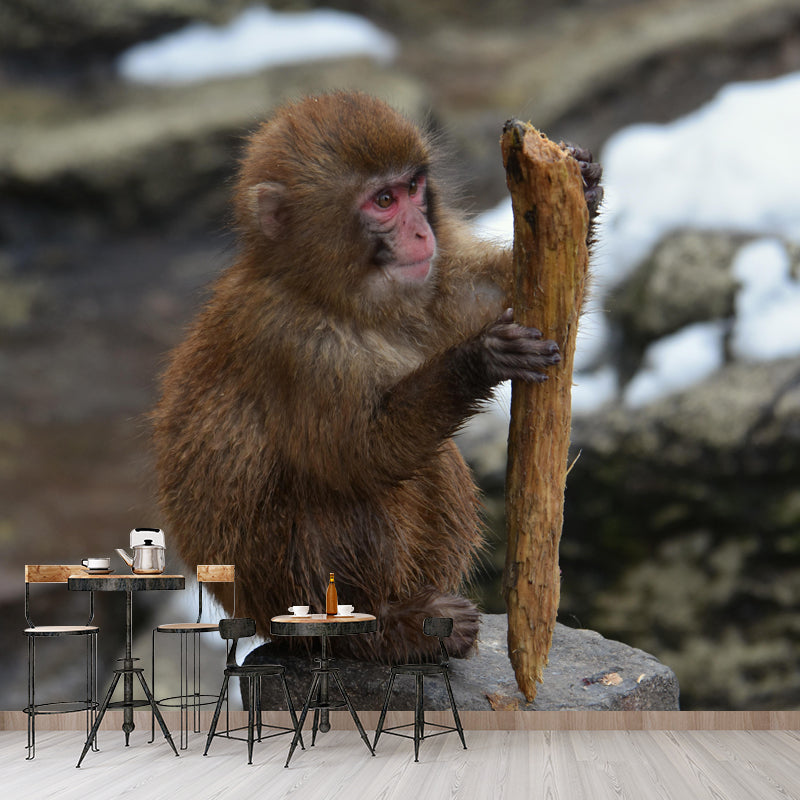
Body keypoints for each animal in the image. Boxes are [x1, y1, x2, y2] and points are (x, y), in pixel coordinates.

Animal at [152, 91, 602, 662]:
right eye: (383, 201)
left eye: (412, 189)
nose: (421, 231)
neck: (334, 297)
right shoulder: (292, 343)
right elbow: (358, 454)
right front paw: (477, 359)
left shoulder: (431, 278)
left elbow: (507, 291)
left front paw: (584, 184)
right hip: (280, 595)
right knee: (346, 491)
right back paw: (381, 628)